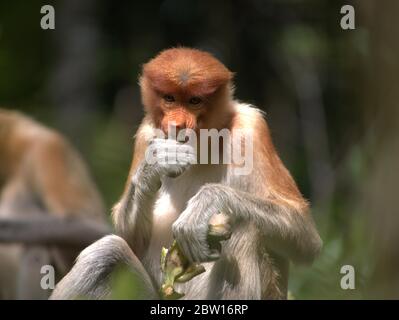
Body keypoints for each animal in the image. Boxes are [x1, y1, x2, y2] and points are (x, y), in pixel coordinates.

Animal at [51, 47, 324, 300]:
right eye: (170, 98)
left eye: (195, 101)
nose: (178, 125)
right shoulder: (147, 132)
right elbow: (130, 238)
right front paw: (157, 163)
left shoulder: (252, 127)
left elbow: (305, 235)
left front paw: (207, 202)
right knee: (106, 253)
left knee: (245, 228)